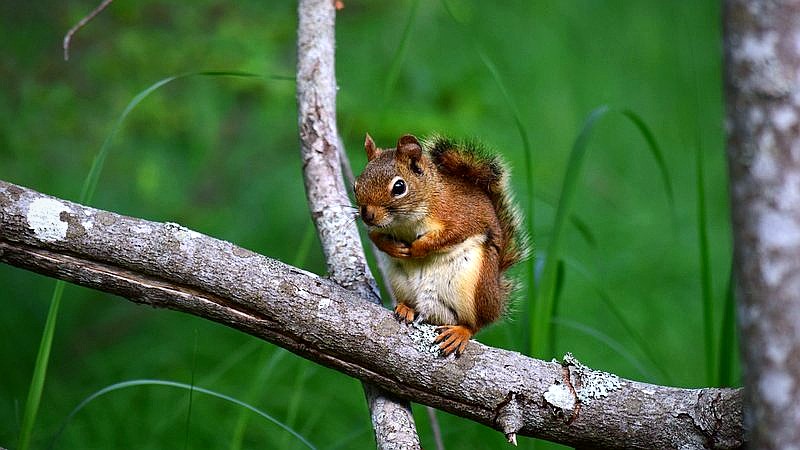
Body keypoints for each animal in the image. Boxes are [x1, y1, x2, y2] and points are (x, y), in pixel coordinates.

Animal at [354, 133, 528, 355]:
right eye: (356, 185)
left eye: (399, 187)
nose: (367, 215)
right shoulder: (379, 228)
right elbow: (375, 237)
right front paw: (395, 248)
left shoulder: (460, 217)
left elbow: (449, 236)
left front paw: (417, 248)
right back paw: (406, 308)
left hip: (475, 287)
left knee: (476, 324)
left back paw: (460, 333)